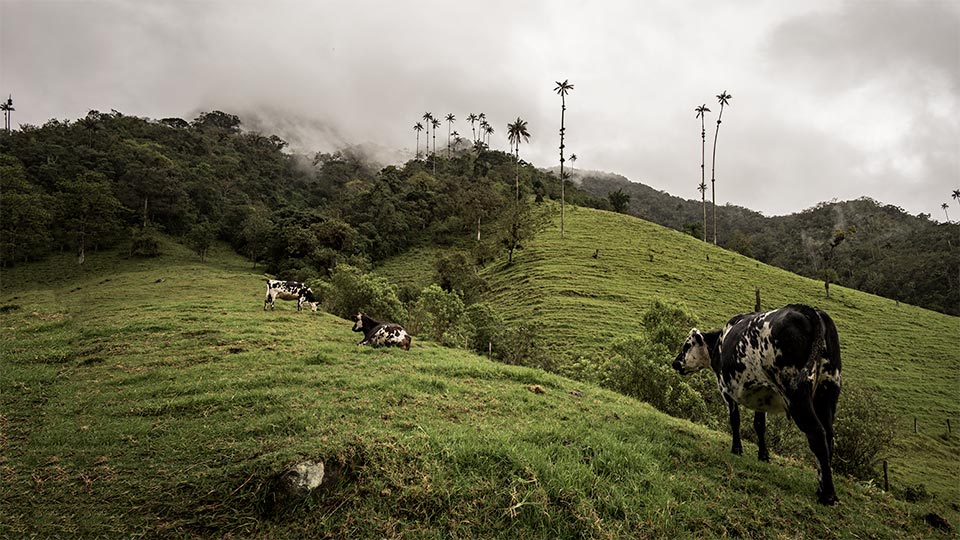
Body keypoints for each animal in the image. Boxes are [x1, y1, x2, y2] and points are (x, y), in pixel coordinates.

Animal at [672, 304, 844, 506]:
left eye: (687, 345)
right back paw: (821, 487)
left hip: (797, 394)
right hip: (828, 390)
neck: (719, 342)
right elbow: (760, 425)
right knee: (829, 436)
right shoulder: (762, 395)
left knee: (817, 433)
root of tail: (809, 310)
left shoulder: (726, 390)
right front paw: (763, 455)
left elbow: (735, 420)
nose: (675, 362)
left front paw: (737, 449)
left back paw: (828, 494)